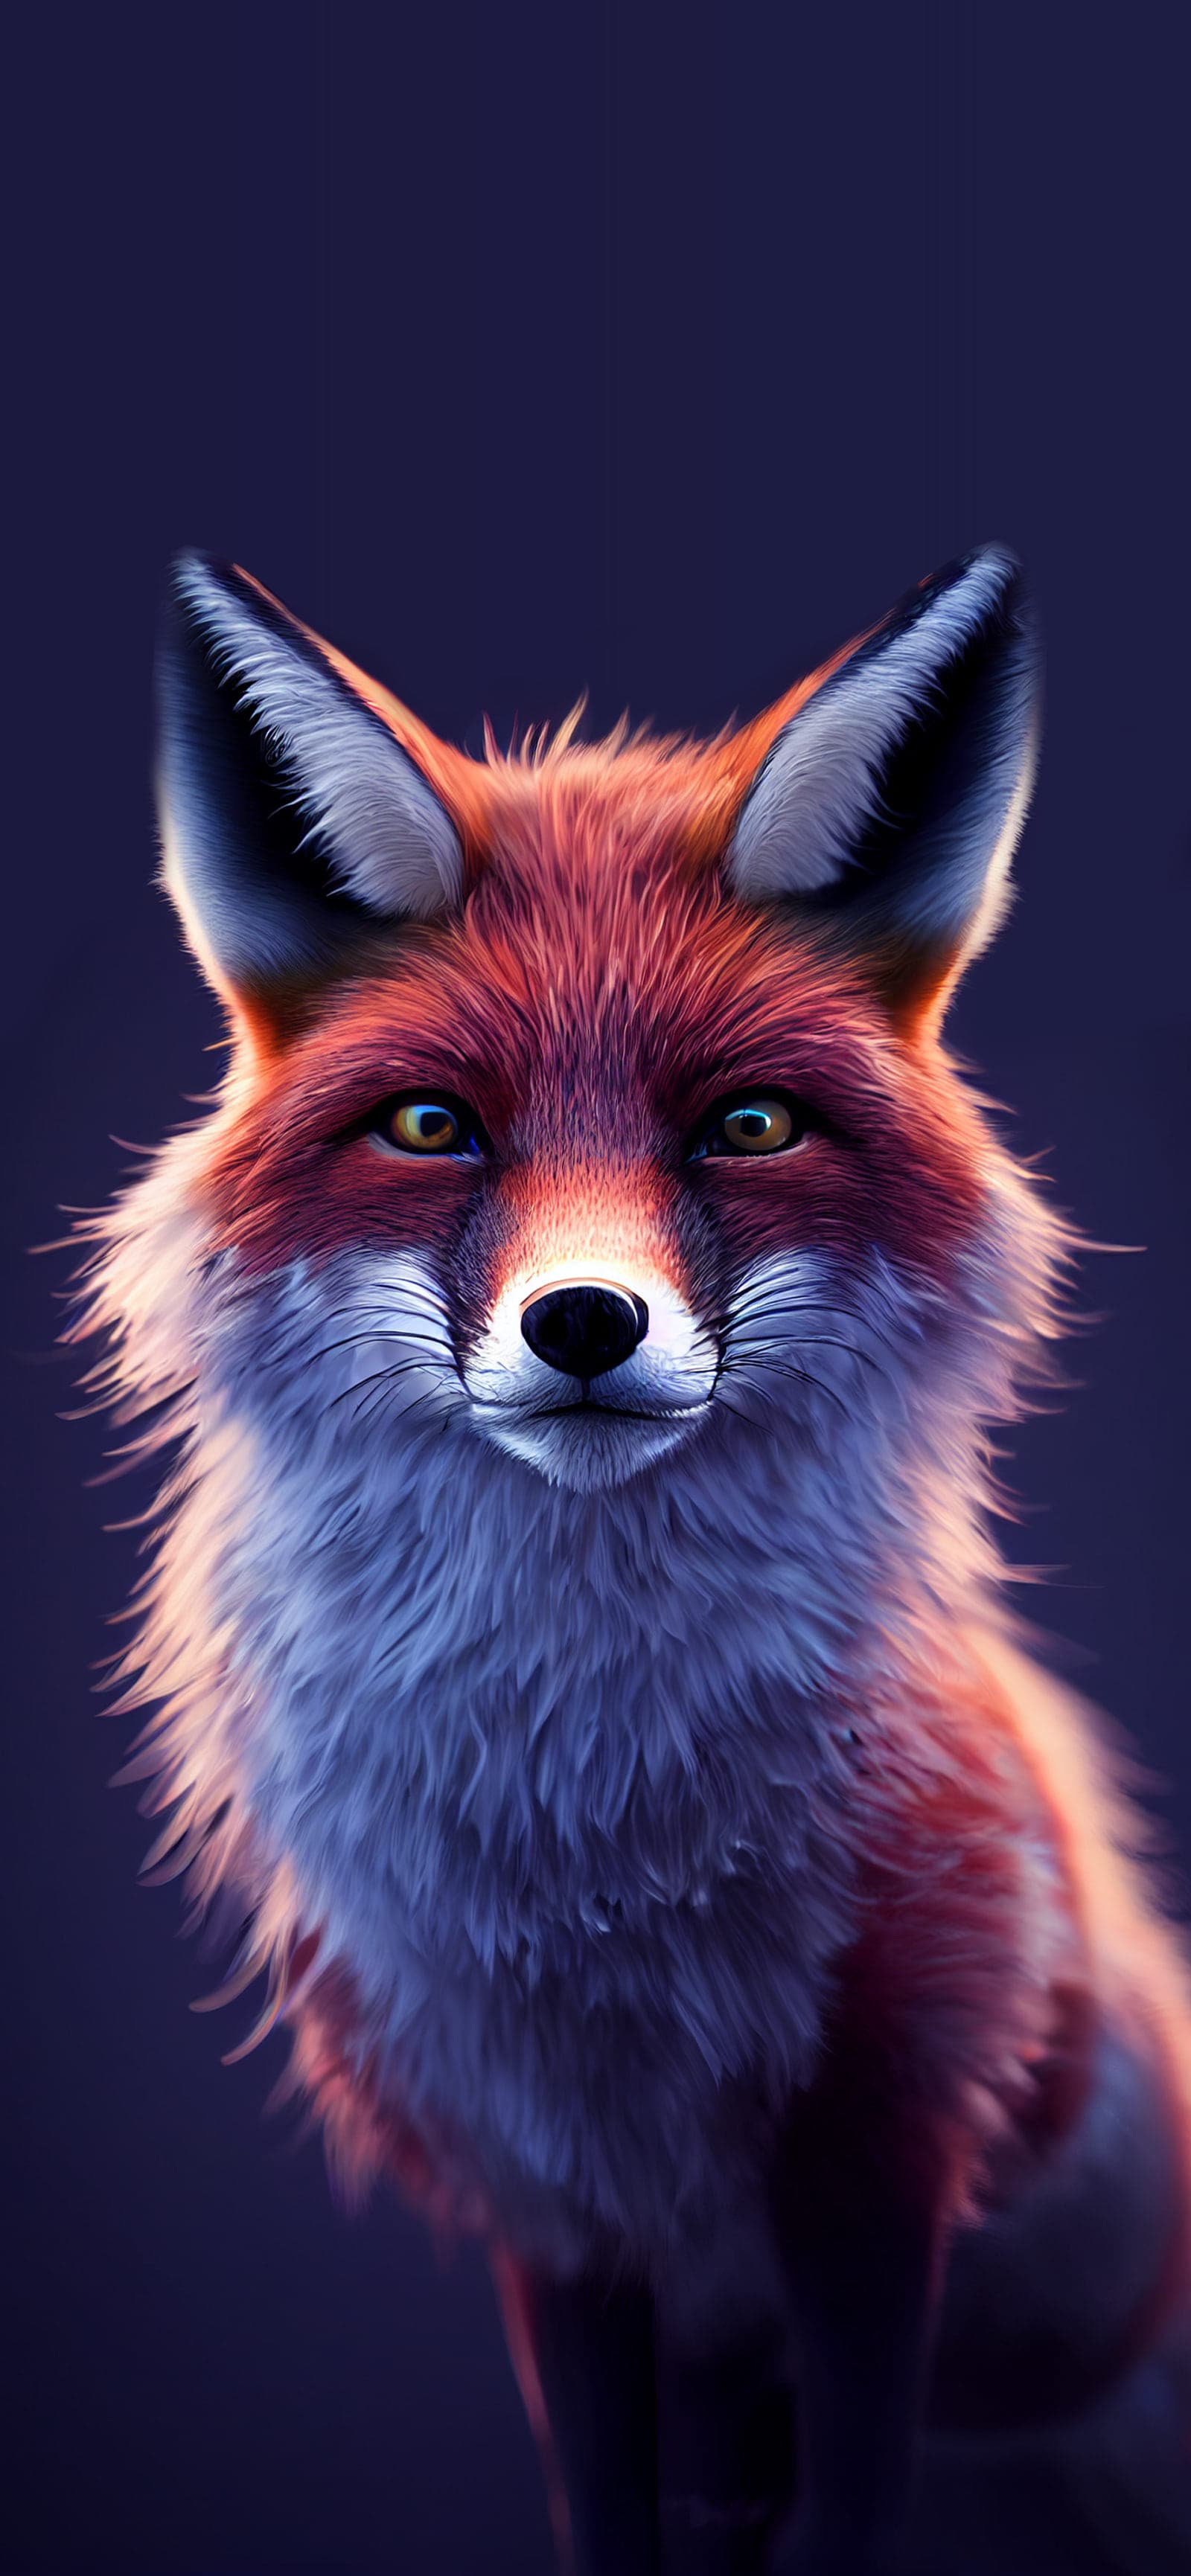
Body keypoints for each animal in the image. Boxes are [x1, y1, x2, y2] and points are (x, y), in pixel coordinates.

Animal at [70, 545, 1191, 2575]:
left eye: (742, 1125)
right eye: (432, 1127)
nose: (583, 1321)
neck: (592, 1848)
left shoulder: (878, 2151)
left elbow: (857, 2507)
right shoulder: (552, 2196)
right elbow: (602, 2506)